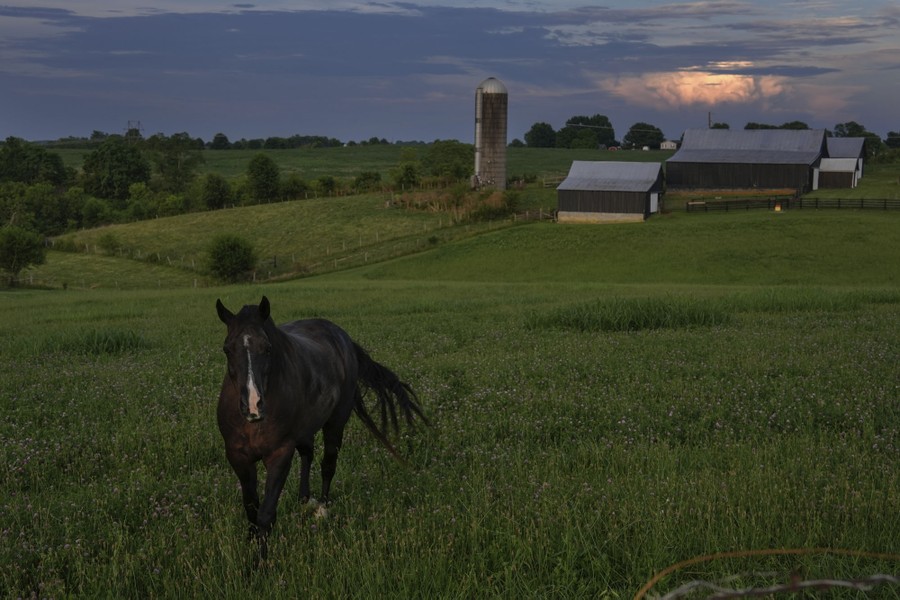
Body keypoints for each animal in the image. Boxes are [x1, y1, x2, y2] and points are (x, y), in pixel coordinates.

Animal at [215, 296, 427, 559]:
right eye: (227, 349)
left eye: (267, 348)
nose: (253, 405)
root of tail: (342, 338)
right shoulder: (237, 456)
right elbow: (251, 508)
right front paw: (250, 542)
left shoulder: (279, 454)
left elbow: (266, 513)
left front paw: (259, 563)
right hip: (306, 428)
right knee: (308, 454)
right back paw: (305, 500)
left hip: (335, 423)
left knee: (328, 464)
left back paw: (322, 508)